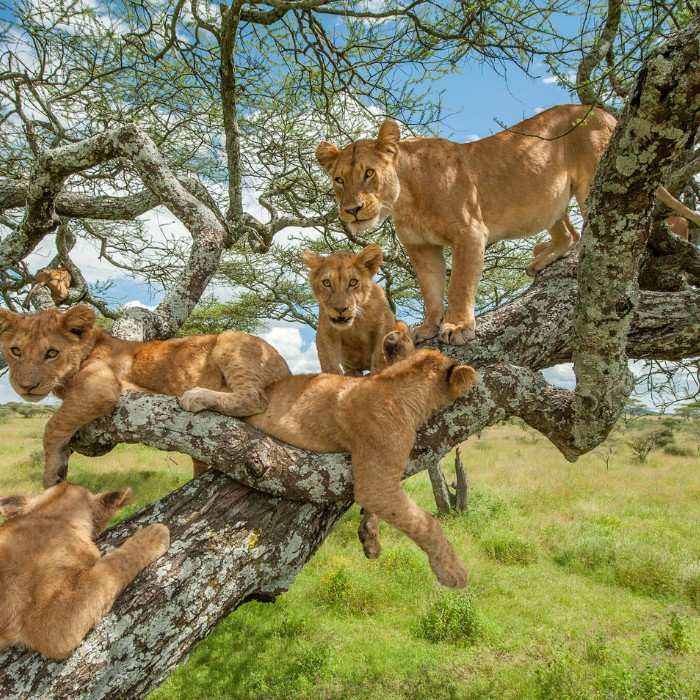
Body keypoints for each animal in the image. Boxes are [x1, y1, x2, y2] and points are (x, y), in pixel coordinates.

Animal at [0, 305, 290, 487]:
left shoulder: (101, 388)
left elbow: (53, 425)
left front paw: (51, 477)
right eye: (15, 351)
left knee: (254, 398)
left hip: (231, 339)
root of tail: (286, 366)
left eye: (52, 353)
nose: (26, 386)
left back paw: (196, 396)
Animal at [181, 346, 479, 588]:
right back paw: (195, 396)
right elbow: (425, 523)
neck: (399, 384)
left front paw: (370, 536)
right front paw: (453, 572)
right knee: (242, 398)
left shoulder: (377, 472)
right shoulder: (377, 481)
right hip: (250, 400)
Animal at [303, 243, 415, 374]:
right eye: (326, 283)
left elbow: (379, 355)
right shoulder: (325, 332)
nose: (340, 309)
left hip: (401, 324)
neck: (355, 322)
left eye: (353, 282)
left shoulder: (386, 321)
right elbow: (329, 363)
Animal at [316, 105, 697, 345]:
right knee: (570, 233)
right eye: (338, 179)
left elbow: (459, 285)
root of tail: (602, 110)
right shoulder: (420, 247)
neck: (405, 199)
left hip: (597, 182)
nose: (351, 210)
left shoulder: (469, 232)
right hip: (550, 201)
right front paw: (428, 325)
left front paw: (457, 326)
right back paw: (543, 259)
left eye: (369, 173)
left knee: (607, 229)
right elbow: (431, 289)